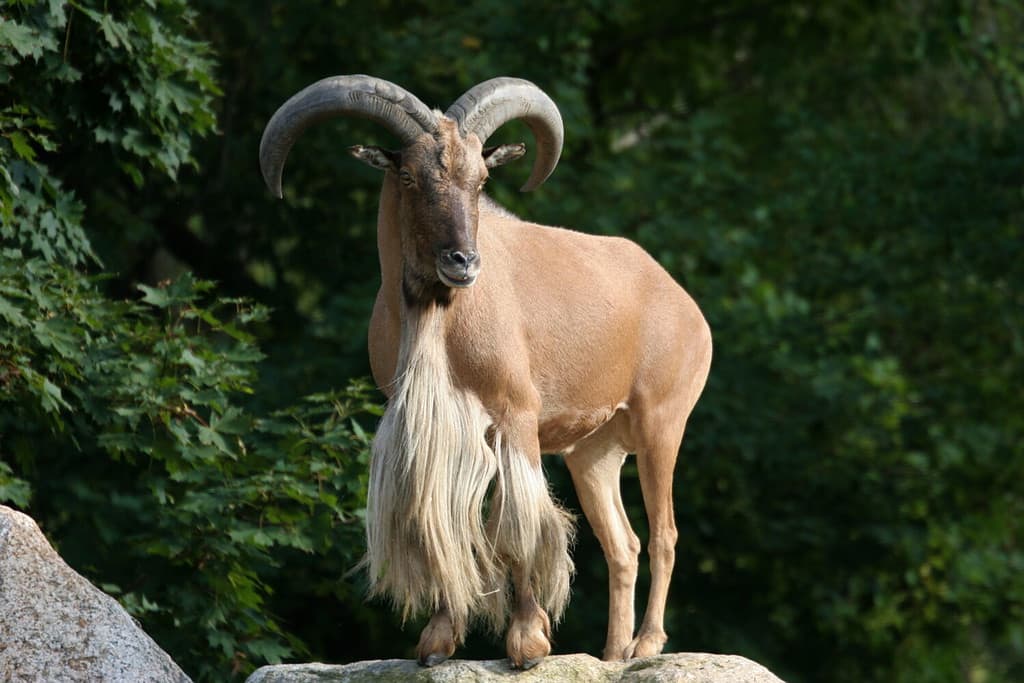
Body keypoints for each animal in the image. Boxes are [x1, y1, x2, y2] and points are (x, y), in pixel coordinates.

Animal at [259, 75, 712, 669]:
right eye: (409, 176)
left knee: (664, 535)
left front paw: (527, 643)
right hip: (594, 454)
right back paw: (612, 653)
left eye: (480, 179)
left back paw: (648, 643)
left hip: (662, 424)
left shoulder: (515, 415)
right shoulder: (433, 426)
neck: (440, 324)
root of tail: (682, 300)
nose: (463, 262)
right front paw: (435, 642)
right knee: (624, 544)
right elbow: (443, 523)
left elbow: (516, 528)